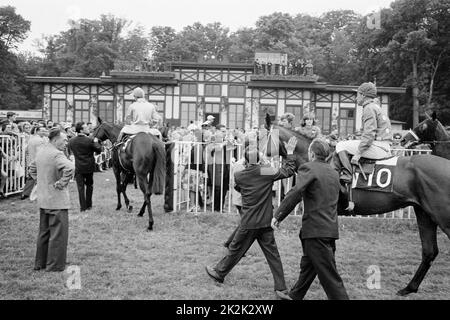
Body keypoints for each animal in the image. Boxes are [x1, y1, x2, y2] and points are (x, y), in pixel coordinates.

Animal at [266, 114, 450, 296]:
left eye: (263, 135)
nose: (259, 155)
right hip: (424, 213)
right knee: (429, 251)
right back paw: (409, 288)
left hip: (441, 215)